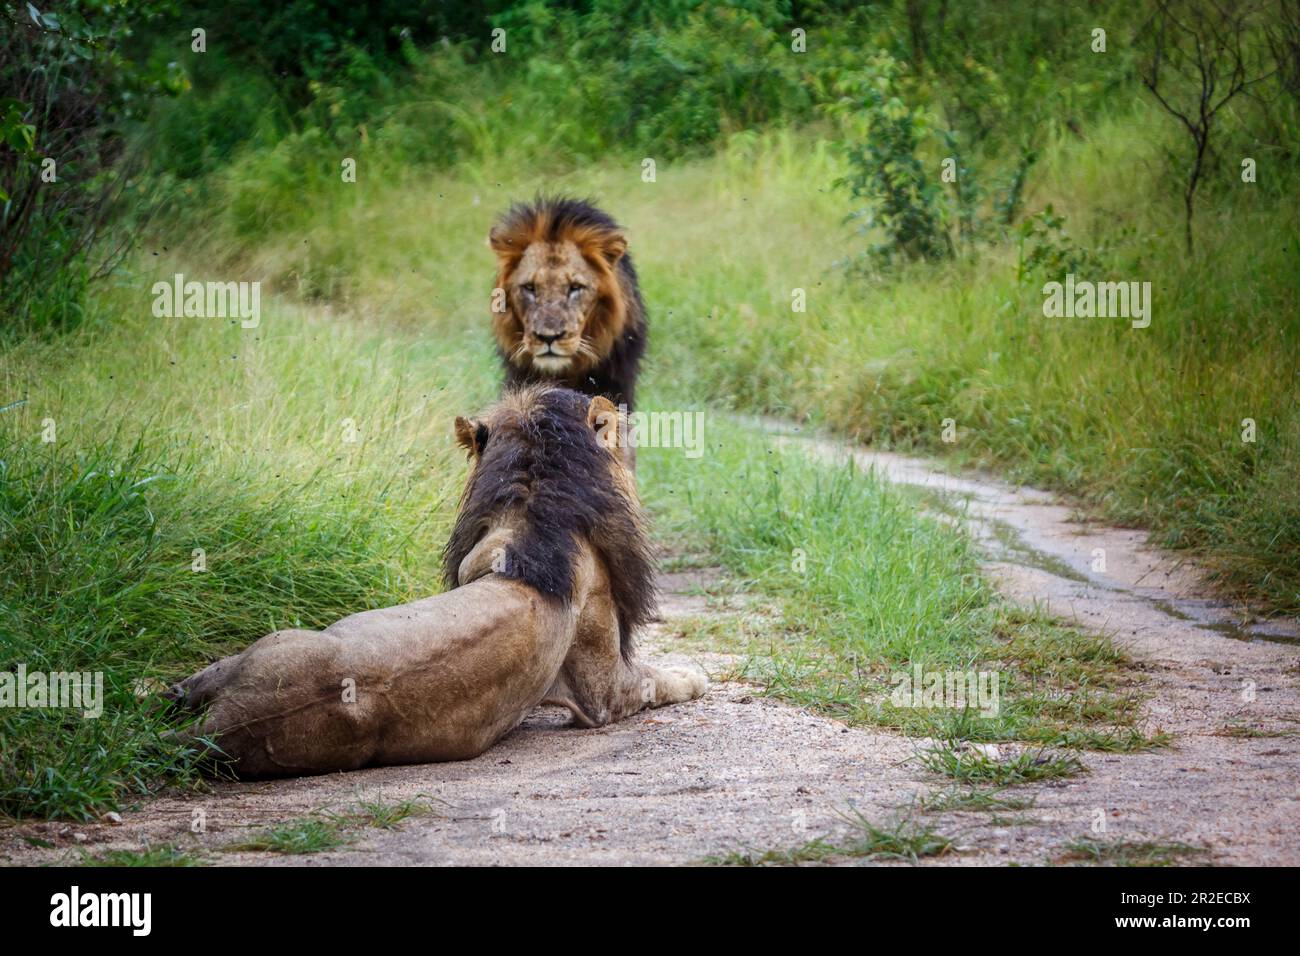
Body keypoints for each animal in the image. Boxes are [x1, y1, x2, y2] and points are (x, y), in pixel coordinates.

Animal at [170, 382, 712, 780]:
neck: (529, 516)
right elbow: (656, 680)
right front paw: (693, 675)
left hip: (256, 653)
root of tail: (230, 721)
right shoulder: (602, 692)